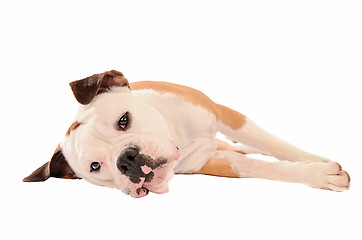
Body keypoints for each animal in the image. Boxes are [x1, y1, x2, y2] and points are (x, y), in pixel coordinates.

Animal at [23, 70, 350, 198]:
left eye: (123, 120)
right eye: (95, 166)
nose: (127, 160)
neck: (178, 135)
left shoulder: (225, 115)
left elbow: (275, 145)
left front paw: (317, 163)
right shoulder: (218, 163)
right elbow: (258, 166)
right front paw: (317, 174)